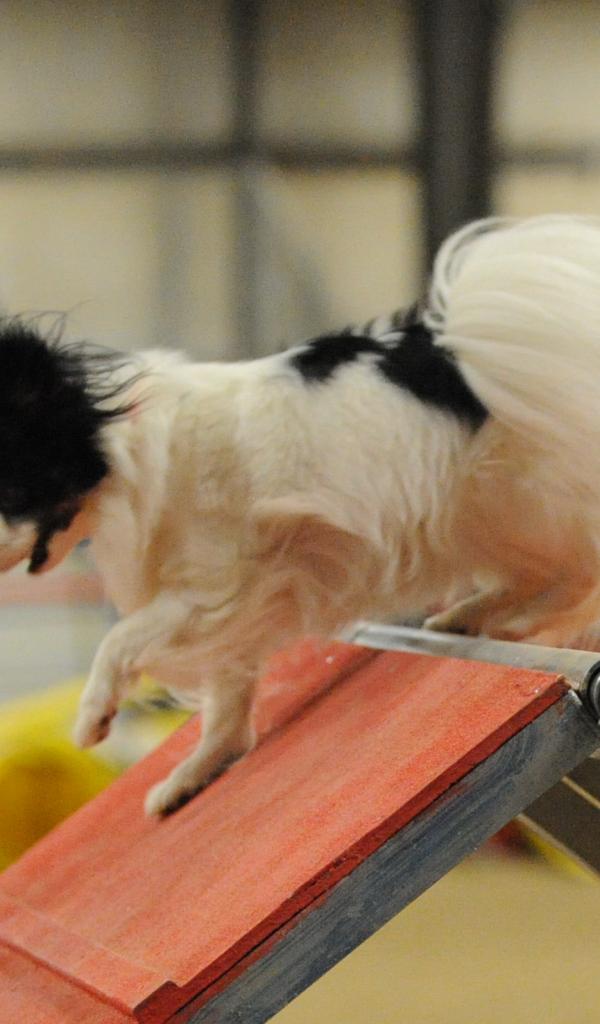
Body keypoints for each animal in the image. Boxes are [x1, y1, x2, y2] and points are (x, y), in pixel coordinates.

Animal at [1, 214, 600, 815]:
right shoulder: (238, 609)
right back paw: (469, 616)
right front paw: (198, 772)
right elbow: (226, 699)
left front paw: (93, 715)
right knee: (541, 577)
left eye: (11, 495)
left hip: (517, 502)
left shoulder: (212, 592)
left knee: (573, 577)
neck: (131, 453)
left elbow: (121, 640)